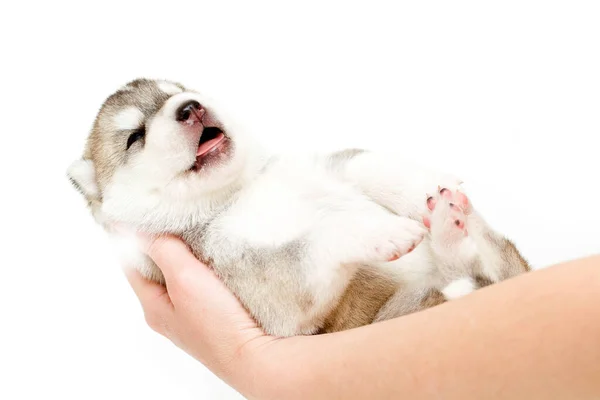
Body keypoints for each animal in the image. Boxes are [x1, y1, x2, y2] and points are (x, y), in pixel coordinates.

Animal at [67, 79, 528, 336]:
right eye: (135, 137)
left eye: (177, 93)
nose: (189, 107)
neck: (241, 188)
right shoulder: (251, 275)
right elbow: (319, 238)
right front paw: (379, 231)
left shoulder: (325, 164)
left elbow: (363, 162)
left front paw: (423, 186)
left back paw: (449, 218)